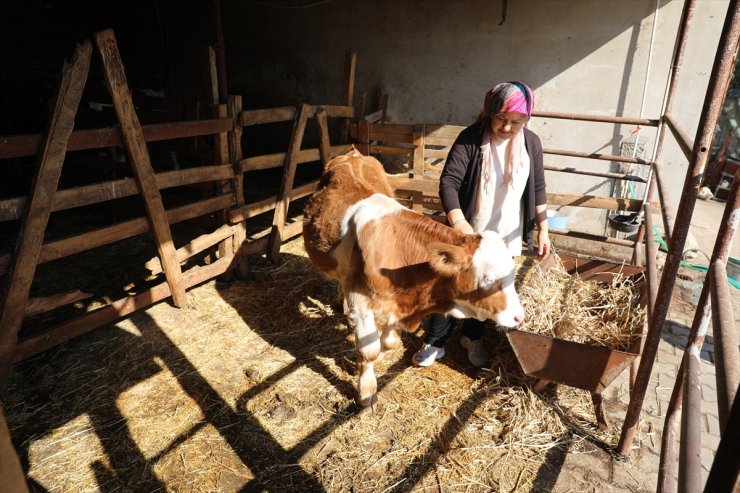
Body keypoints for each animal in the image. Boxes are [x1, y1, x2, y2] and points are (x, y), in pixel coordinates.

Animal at [304, 149, 524, 408]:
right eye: (489, 278)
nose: (519, 317)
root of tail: (353, 154)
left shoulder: (398, 306)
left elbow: (389, 343)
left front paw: (378, 360)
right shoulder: (361, 301)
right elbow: (369, 350)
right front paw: (366, 392)